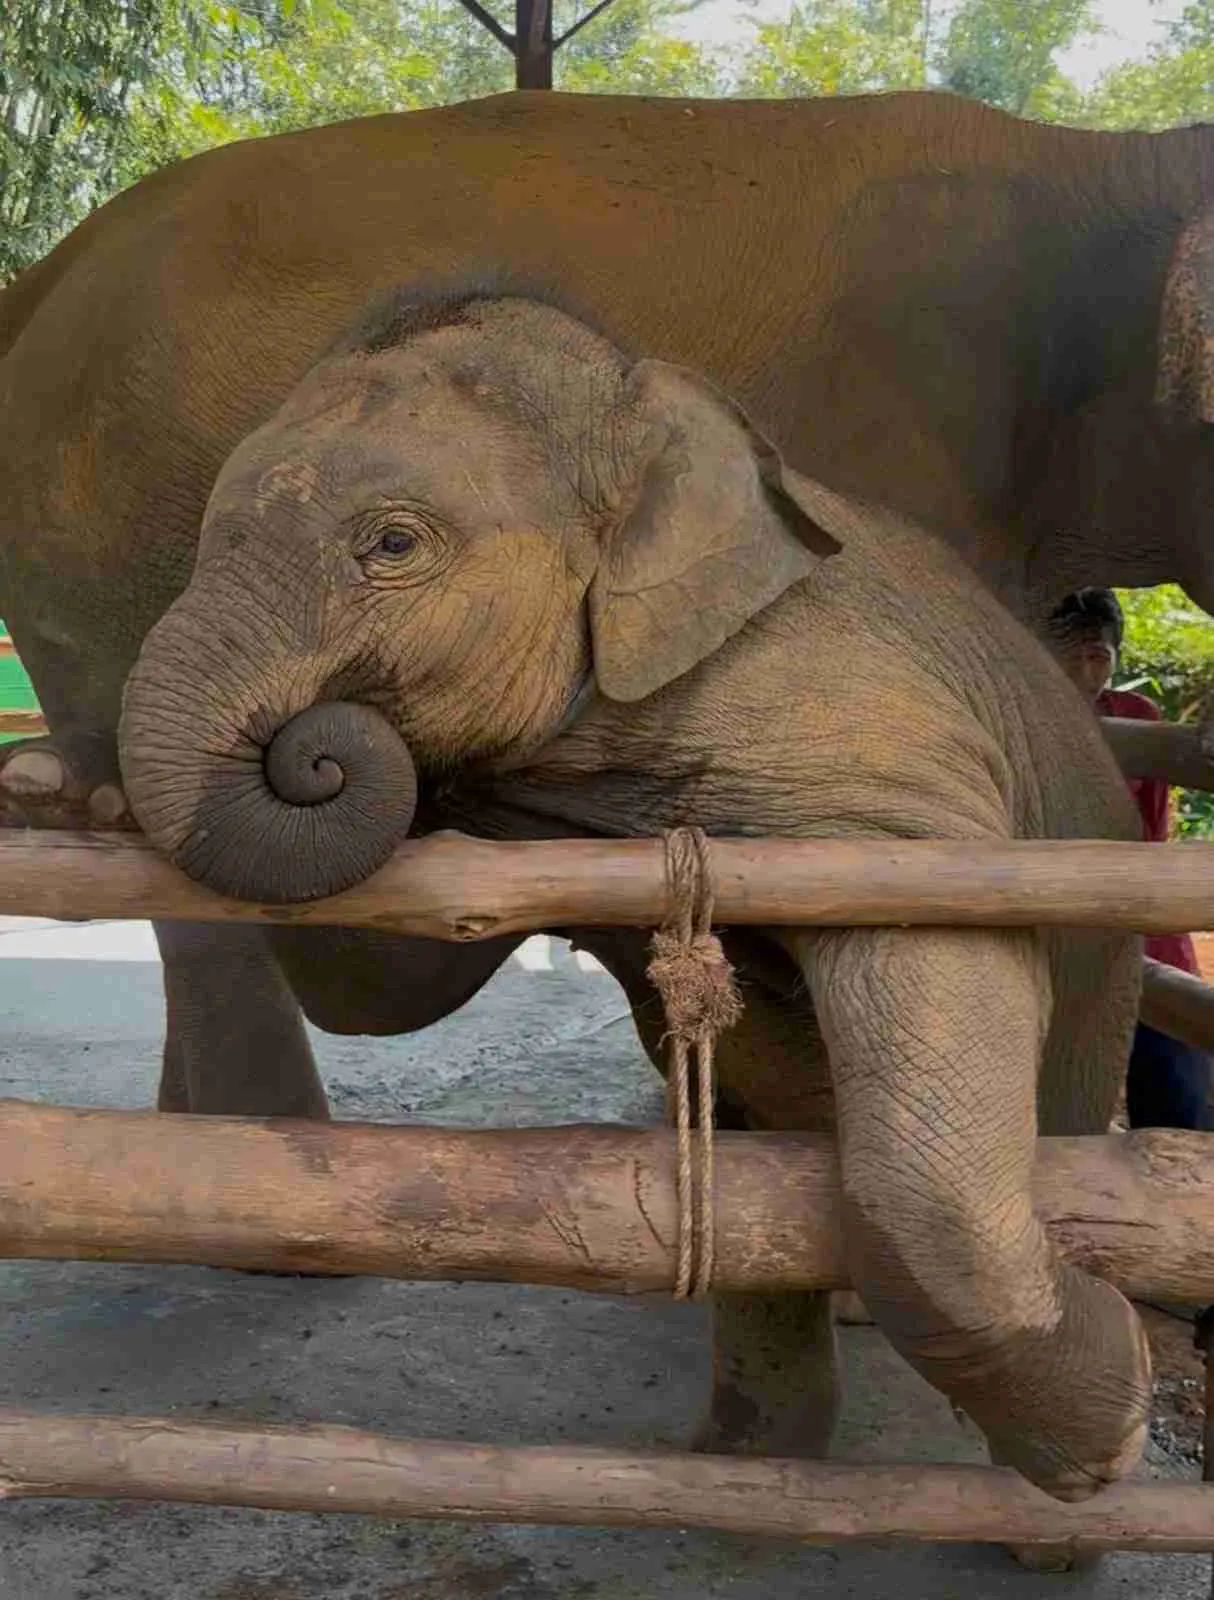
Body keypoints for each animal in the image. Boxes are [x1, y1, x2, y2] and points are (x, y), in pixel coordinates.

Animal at [118, 285, 1155, 1501]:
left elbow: (940, 928)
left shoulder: (871, 728)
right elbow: (383, 981)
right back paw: (750, 1464)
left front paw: (1117, 1426)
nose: (314, 749)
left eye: (392, 544)